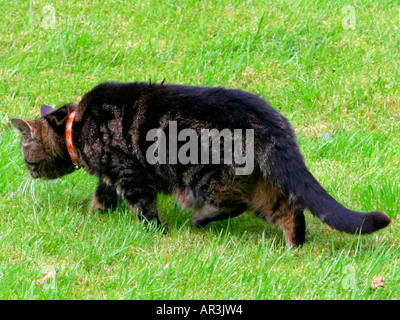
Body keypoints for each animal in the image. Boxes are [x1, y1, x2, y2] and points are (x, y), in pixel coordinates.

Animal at [11, 81, 390, 246]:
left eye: (28, 158)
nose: (28, 171)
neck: (74, 126)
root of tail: (269, 119)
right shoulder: (112, 175)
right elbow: (102, 195)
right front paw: (96, 214)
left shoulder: (128, 172)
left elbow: (143, 208)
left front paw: (155, 233)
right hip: (258, 184)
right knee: (288, 211)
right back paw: (294, 246)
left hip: (203, 175)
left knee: (234, 203)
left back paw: (199, 220)